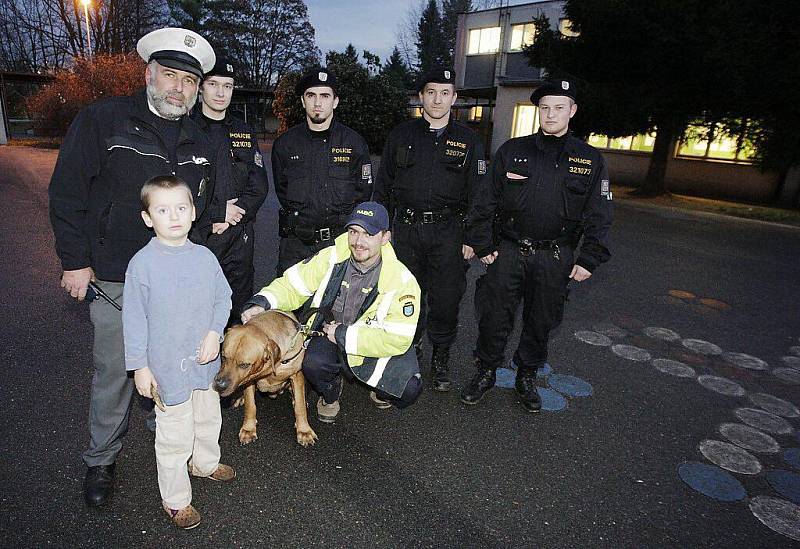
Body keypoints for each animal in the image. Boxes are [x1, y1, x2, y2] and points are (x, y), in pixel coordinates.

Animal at [214, 308, 318, 446]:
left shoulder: (296, 376)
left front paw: (304, 431)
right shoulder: (249, 381)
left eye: (244, 365)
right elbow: (251, 405)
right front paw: (248, 429)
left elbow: (300, 407)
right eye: (224, 357)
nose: (219, 386)